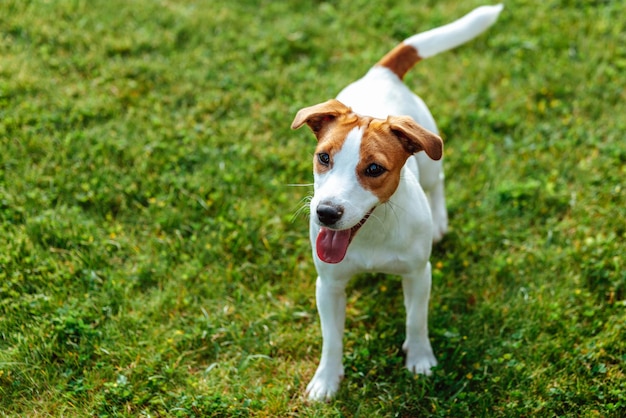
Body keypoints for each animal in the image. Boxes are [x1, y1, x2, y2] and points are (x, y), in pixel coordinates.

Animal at [292, 4, 502, 402]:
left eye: (374, 169)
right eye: (323, 157)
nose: (325, 213)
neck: (371, 232)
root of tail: (382, 73)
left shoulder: (419, 274)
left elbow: (416, 320)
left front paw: (420, 359)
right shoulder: (328, 285)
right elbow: (331, 339)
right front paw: (326, 379)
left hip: (432, 163)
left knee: (439, 181)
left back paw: (439, 221)